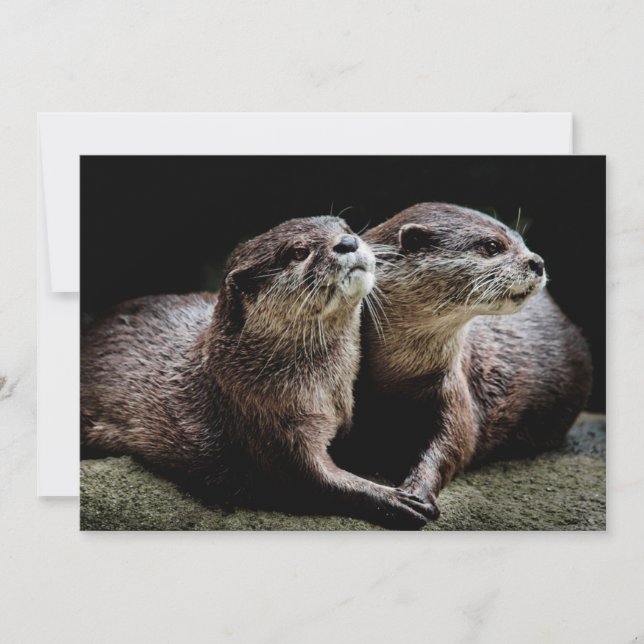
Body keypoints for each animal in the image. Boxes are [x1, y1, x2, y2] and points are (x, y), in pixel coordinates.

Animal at [81, 216, 436, 529]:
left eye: (346, 227)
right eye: (298, 252)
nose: (348, 242)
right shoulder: (268, 421)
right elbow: (312, 481)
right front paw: (394, 499)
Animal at [332, 203, 592, 517]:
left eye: (522, 240)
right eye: (492, 246)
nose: (538, 262)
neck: (395, 376)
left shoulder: (455, 388)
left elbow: (454, 445)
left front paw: (418, 491)